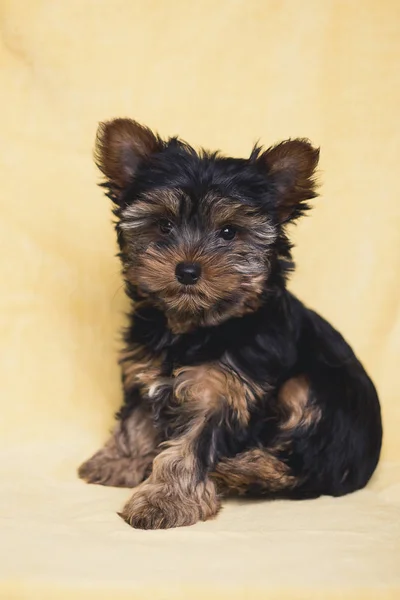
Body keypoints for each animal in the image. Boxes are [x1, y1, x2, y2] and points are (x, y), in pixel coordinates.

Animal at [77, 118, 382, 528]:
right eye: (164, 226)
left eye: (228, 232)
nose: (187, 270)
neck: (194, 326)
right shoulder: (145, 373)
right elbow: (137, 420)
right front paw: (120, 460)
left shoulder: (226, 393)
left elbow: (192, 445)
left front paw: (165, 499)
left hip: (312, 393)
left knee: (307, 468)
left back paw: (243, 470)